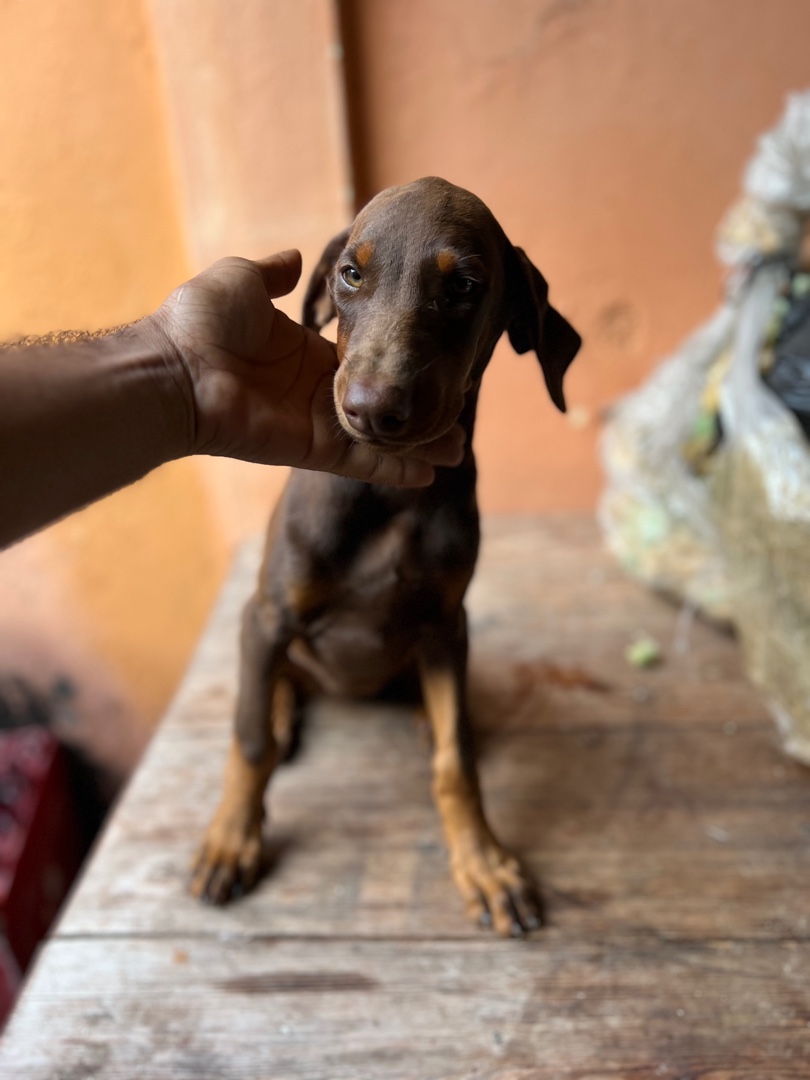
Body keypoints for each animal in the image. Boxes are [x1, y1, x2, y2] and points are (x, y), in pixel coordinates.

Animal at [192, 177, 583, 937]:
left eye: (463, 285)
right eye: (351, 274)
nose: (372, 410)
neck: (389, 496)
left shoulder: (445, 623)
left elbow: (456, 759)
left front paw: (485, 863)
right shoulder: (269, 613)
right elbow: (247, 740)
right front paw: (231, 840)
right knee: (276, 690)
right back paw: (281, 710)